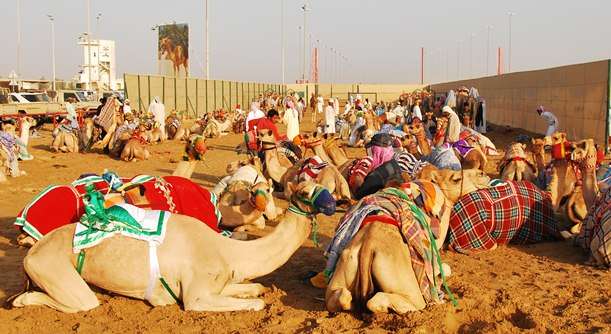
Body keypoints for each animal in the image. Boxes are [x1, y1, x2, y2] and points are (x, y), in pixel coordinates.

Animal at [9, 181, 338, 312]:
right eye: (305, 191)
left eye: (326, 186)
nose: (334, 202)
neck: (228, 252)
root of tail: (31, 253)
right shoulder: (195, 296)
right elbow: (256, 303)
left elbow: (255, 288)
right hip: (53, 270)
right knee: (80, 302)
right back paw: (22, 300)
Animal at [326, 170, 492, 314]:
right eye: (456, 178)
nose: (483, 173)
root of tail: (368, 247)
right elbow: (442, 268)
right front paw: (440, 278)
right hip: (404, 282)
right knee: (395, 301)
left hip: (345, 264)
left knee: (341, 297)